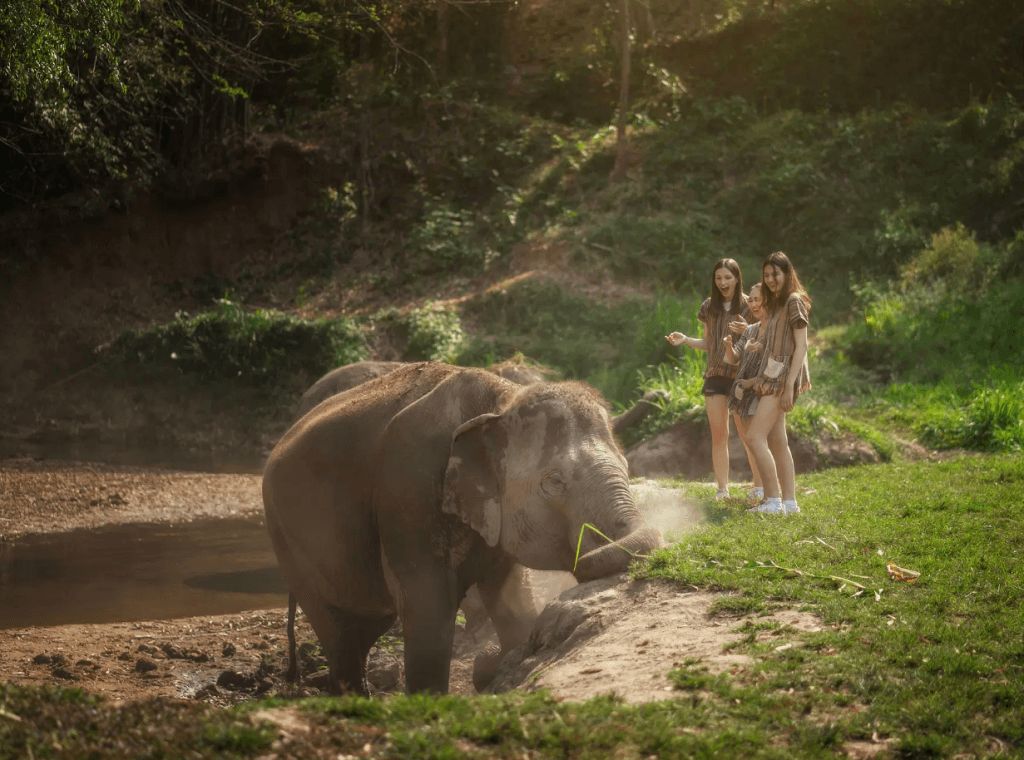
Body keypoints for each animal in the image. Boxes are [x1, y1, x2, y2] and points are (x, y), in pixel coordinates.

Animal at [263, 361, 662, 695]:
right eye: (554, 482)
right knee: (338, 635)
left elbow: (511, 596)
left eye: (628, 465)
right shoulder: (407, 491)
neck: (500, 400)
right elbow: (428, 607)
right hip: (288, 544)